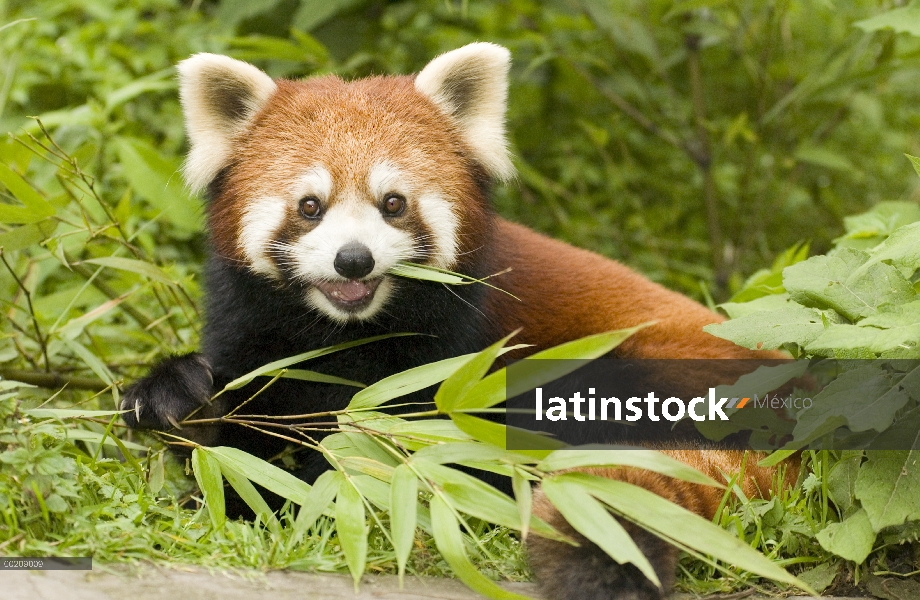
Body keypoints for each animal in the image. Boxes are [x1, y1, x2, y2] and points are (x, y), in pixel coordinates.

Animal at [122, 43, 796, 600]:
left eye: (393, 204)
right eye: (309, 207)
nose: (353, 259)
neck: (344, 336)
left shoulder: (459, 354)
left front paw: (326, 486)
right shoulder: (255, 330)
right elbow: (238, 426)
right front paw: (180, 399)